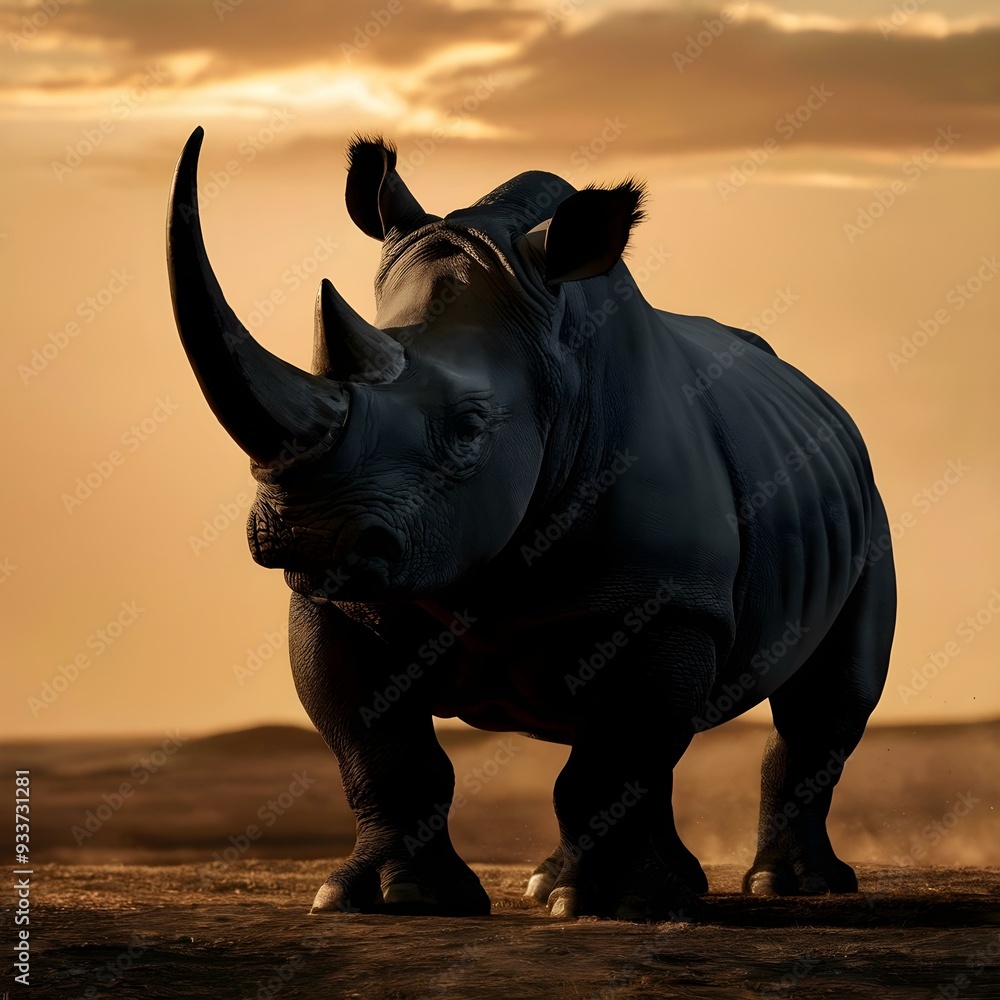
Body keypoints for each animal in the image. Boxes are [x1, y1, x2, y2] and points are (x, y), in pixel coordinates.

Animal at [167, 127, 896, 921]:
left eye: (469, 427)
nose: (304, 532)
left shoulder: (667, 601)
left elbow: (612, 760)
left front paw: (616, 906)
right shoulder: (344, 599)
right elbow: (382, 751)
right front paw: (393, 898)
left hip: (869, 515)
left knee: (822, 703)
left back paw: (784, 886)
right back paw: (617, 883)